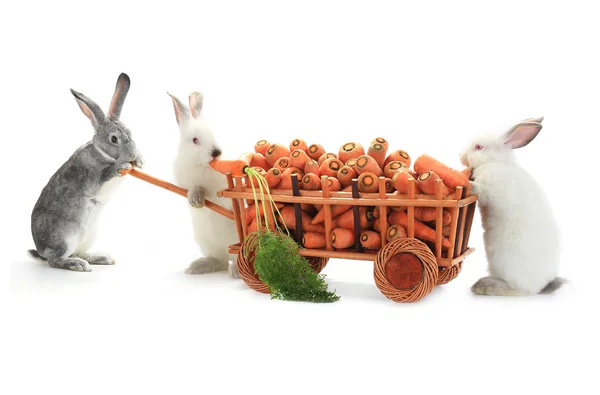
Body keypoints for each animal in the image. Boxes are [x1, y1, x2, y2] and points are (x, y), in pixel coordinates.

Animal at [29, 73, 144, 272]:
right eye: (114, 139)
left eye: (130, 133)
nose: (131, 155)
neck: (102, 153)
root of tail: (41, 250)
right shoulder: (92, 176)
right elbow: (105, 174)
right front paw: (122, 165)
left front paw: (139, 160)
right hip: (66, 237)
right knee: (56, 260)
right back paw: (78, 265)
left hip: (89, 236)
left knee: (79, 253)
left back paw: (102, 258)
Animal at [166, 92, 239, 278]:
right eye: (195, 140)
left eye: (214, 133)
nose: (216, 152)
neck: (202, 166)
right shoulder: (184, 183)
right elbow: (194, 189)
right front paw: (196, 198)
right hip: (207, 243)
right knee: (220, 261)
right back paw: (198, 266)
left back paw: (236, 271)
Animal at [460, 117, 564, 296]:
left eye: (478, 147)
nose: (461, 156)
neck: (495, 162)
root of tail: (538, 287)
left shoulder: (489, 187)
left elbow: (480, 189)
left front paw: (470, 183)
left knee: (517, 291)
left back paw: (484, 286)